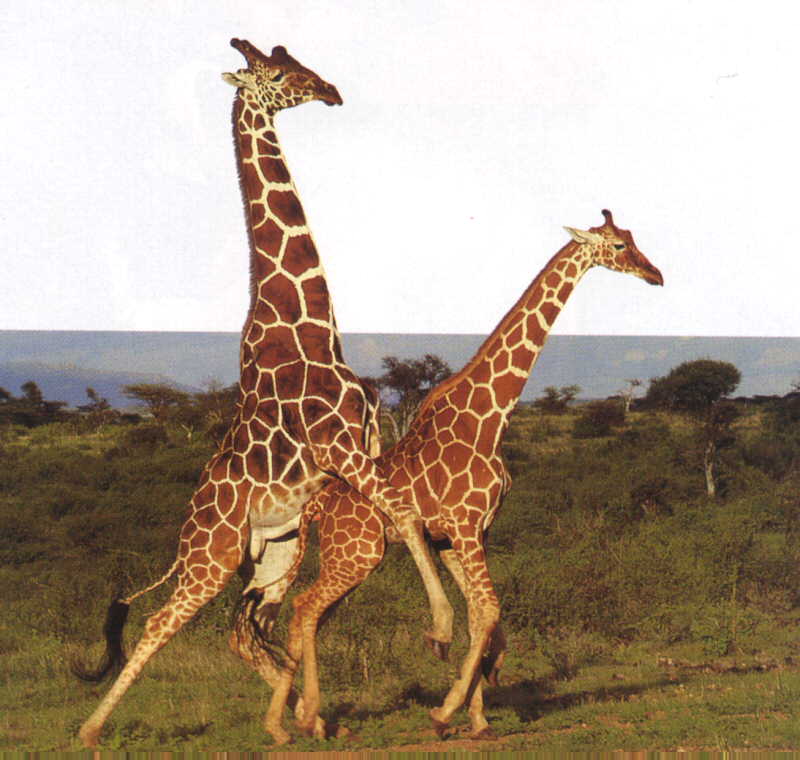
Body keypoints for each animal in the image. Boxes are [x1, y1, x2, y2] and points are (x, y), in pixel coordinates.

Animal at [75, 39, 448, 748]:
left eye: (298, 61)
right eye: (278, 74)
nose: (330, 91)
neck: (313, 329)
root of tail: (186, 529)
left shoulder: (363, 449)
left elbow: (388, 531)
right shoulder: (343, 450)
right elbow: (407, 516)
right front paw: (443, 628)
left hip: (271, 550)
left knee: (244, 631)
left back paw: (295, 715)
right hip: (213, 555)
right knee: (164, 622)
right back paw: (90, 729)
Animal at [262, 210, 663, 743]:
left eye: (634, 240)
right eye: (619, 246)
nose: (655, 275)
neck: (492, 419)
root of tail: (317, 505)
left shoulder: (468, 533)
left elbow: (480, 614)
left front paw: (478, 717)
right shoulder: (466, 526)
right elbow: (488, 610)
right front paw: (446, 711)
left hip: (346, 556)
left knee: (304, 614)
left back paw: (290, 722)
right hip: (358, 554)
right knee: (306, 608)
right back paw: (307, 720)